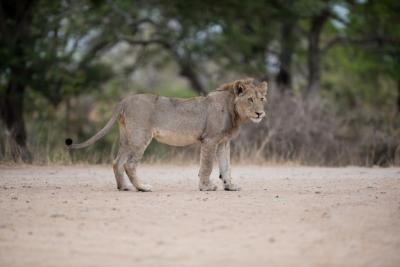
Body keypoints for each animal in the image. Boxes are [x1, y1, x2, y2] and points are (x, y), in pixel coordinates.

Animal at [65, 78, 268, 192]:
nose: (260, 113)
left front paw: (230, 186)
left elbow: (226, 167)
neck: (234, 111)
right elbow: (207, 166)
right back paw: (142, 187)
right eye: (250, 100)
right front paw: (206, 187)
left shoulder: (223, 143)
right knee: (129, 164)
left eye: (262, 99)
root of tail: (125, 100)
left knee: (117, 162)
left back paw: (124, 187)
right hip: (140, 137)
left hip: (127, 138)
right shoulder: (210, 140)